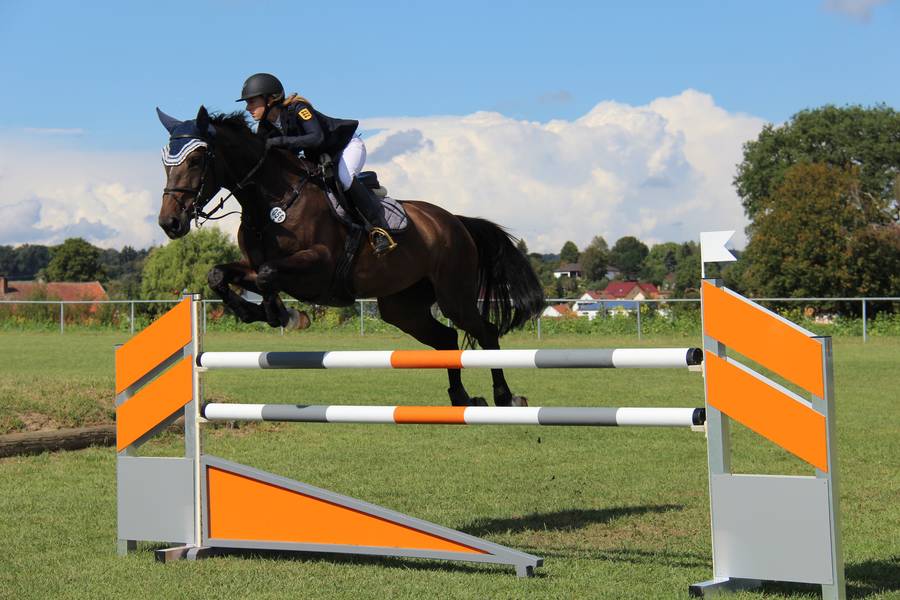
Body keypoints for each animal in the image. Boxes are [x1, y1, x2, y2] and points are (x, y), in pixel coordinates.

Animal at [158, 105, 544, 408]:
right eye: (165, 163)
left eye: (196, 160)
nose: (169, 222)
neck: (271, 200)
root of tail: (454, 221)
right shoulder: (253, 267)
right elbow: (221, 275)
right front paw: (261, 313)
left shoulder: (318, 266)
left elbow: (268, 274)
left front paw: (284, 315)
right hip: (402, 307)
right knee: (447, 339)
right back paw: (462, 398)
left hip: (454, 295)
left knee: (486, 332)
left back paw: (506, 397)